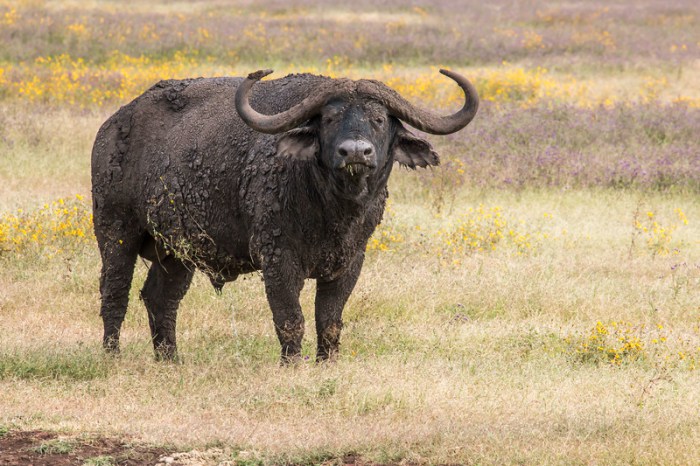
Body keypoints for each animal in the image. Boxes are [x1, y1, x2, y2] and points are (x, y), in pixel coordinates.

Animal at [90, 69, 478, 362]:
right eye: (330, 118)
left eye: (379, 119)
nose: (355, 152)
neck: (332, 209)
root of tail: (114, 125)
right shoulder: (278, 260)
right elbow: (291, 318)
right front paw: (291, 364)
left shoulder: (350, 261)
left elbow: (329, 320)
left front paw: (326, 363)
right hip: (115, 231)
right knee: (115, 292)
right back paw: (113, 355)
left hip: (177, 251)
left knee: (161, 297)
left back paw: (169, 359)